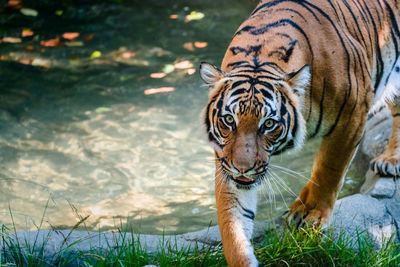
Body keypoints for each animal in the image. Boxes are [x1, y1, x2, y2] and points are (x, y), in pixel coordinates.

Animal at [200, 1, 400, 266]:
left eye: (268, 124)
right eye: (229, 120)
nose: (243, 168)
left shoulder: (353, 113)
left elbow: (329, 170)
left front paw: (311, 216)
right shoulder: (226, 161)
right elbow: (232, 221)